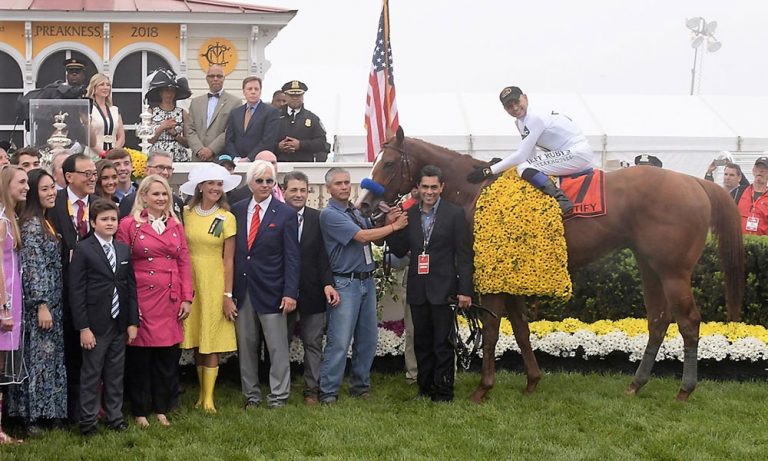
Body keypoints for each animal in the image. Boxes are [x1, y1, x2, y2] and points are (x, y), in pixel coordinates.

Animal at [360, 127, 744, 400]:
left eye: (388, 163)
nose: (364, 204)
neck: (473, 193)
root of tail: (695, 182)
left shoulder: (493, 276)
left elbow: (493, 330)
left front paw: (483, 388)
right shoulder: (511, 276)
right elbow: (520, 329)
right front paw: (532, 381)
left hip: (673, 271)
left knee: (689, 321)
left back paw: (685, 389)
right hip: (649, 265)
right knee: (659, 320)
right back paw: (637, 384)